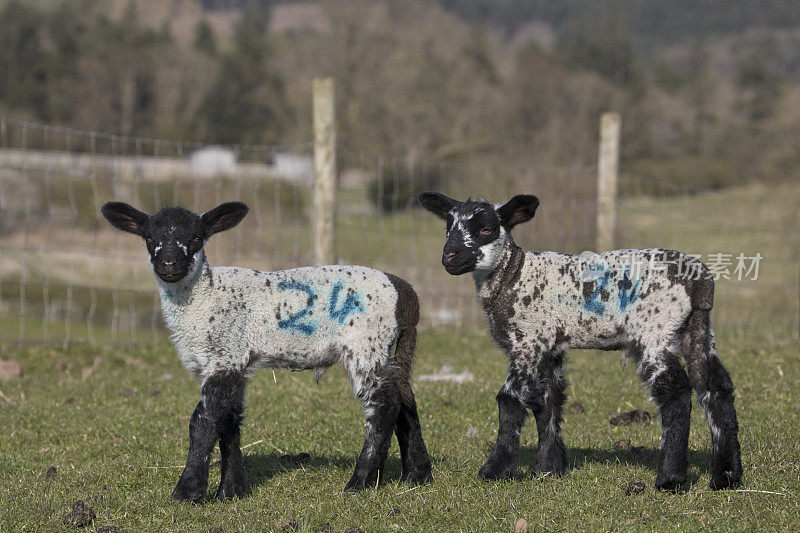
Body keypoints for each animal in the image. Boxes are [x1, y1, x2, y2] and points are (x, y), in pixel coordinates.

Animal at [104, 202, 438, 500]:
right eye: (149, 238)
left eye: (196, 238)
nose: (169, 265)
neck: (204, 297)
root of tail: (406, 295)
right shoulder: (234, 362)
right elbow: (228, 421)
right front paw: (232, 492)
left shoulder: (224, 356)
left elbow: (203, 421)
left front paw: (188, 493)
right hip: (390, 348)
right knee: (405, 399)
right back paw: (417, 476)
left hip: (365, 343)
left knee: (383, 405)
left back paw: (360, 483)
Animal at [418, 191, 744, 490]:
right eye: (448, 227)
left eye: (486, 229)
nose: (449, 257)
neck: (514, 275)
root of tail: (699, 281)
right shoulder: (550, 345)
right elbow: (548, 401)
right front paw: (549, 468)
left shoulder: (528, 341)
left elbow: (509, 400)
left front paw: (496, 470)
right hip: (696, 329)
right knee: (716, 388)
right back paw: (726, 476)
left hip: (655, 329)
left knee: (675, 393)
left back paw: (671, 478)